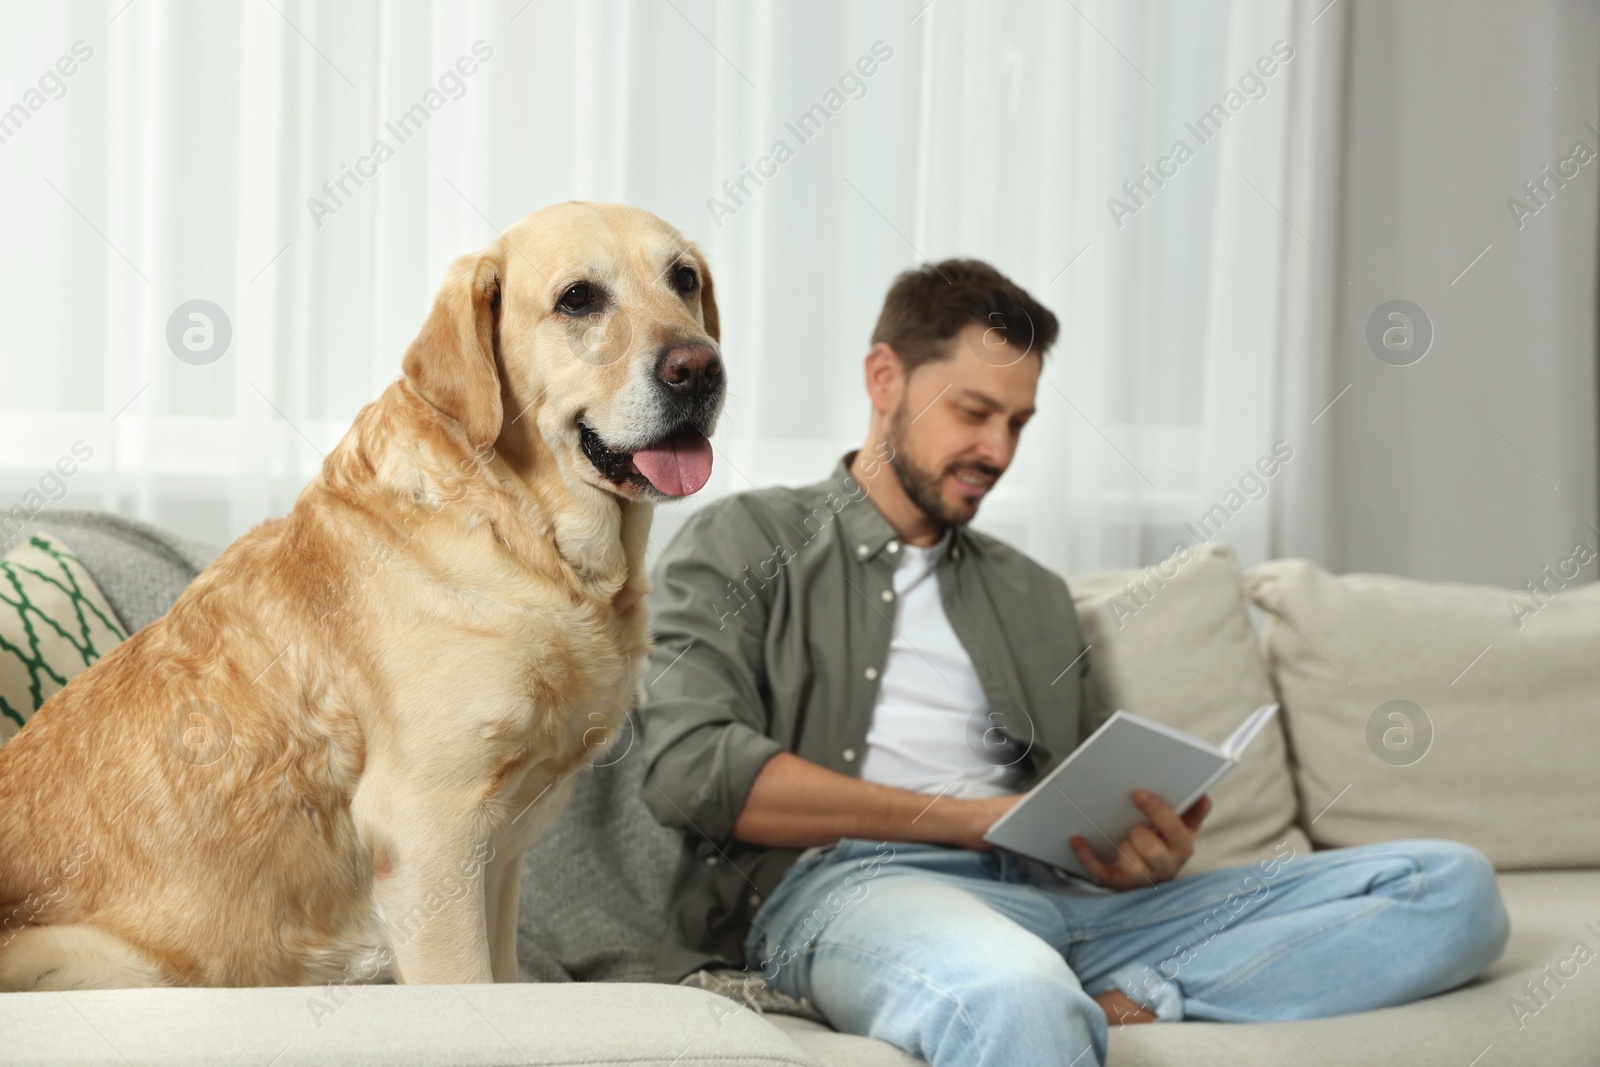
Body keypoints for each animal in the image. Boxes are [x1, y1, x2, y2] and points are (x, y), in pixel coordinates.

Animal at [0, 202, 720, 991]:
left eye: (684, 279)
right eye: (578, 298)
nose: (699, 368)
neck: (524, 536)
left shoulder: (500, 861)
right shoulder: (427, 832)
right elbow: (468, 984)